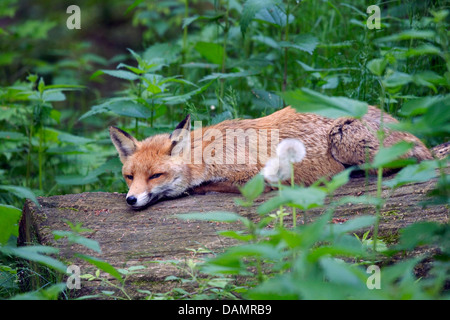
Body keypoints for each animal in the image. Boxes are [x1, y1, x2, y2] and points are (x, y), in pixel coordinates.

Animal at [109, 106, 432, 209]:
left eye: (155, 175)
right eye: (129, 176)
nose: (131, 199)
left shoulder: (253, 175)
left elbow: (206, 186)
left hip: (343, 138)